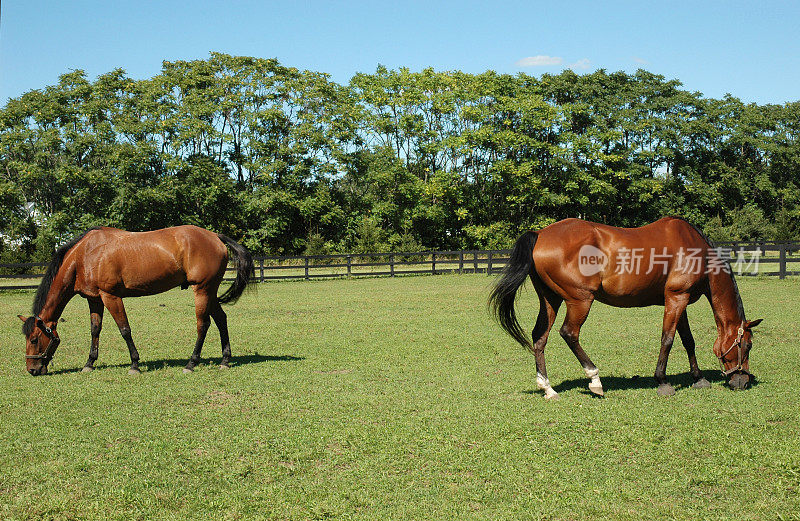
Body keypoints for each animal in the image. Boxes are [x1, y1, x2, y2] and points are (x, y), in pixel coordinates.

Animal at [18, 225, 252, 376]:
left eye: (34, 339)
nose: (32, 370)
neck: (85, 255)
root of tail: (215, 236)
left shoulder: (110, 296)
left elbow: (124, 330)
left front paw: (134, 365)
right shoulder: (94, 299)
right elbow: (95, 330)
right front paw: (89, 363)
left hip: (202, 290)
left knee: (203, 325)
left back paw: (191, 363)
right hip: (210, 292)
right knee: (221, 319)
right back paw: (225, 360)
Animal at [488, 216, 764, 398]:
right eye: (748, 345)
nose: (742, 381)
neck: (698, 252)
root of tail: (541, 233)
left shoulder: (679, 300)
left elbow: (688, 340)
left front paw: (699, 378)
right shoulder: (676, 298)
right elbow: (668, 339)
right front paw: (662, 381)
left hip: (550, 300)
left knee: (539, 337)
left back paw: (548, 388)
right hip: (580, 300)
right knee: (569, 333)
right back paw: (594, 380)